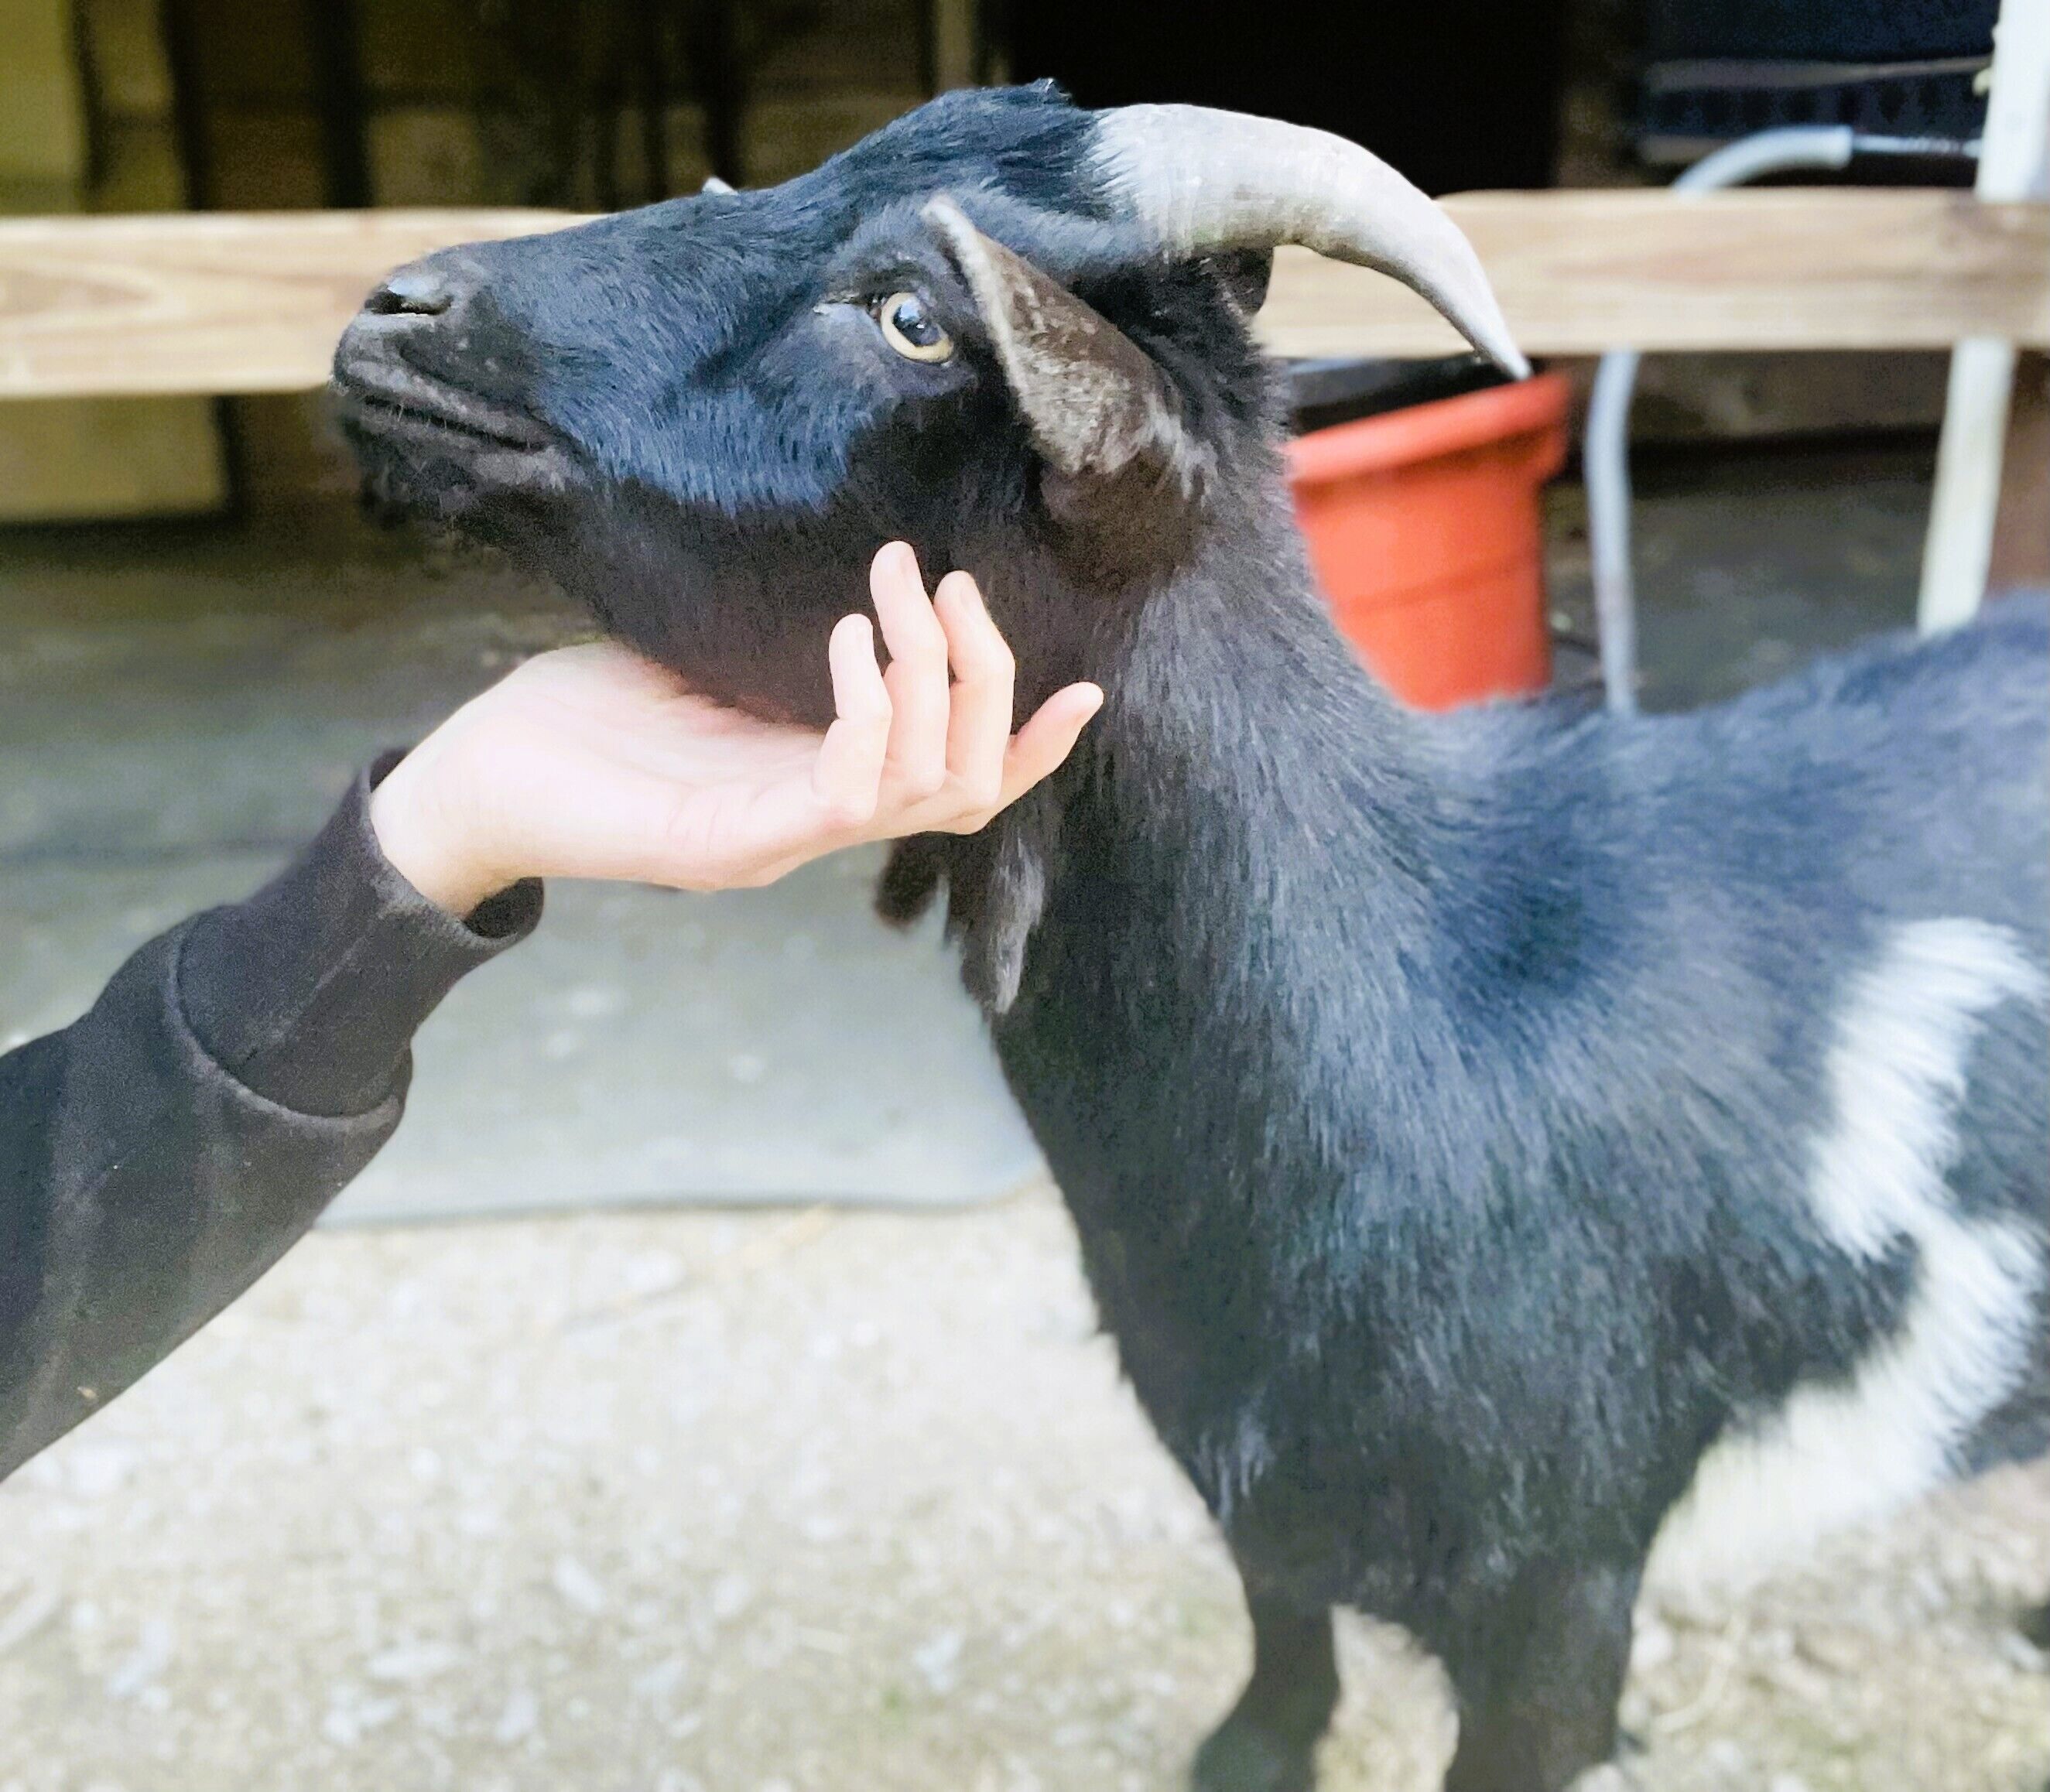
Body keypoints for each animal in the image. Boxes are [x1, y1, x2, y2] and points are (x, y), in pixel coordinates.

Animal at [334, 84, 2050, 1792]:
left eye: (910, 317)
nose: (394, 311)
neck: (1431, 994)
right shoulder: (1237, 1467)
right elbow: (1276, 1633)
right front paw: (1249, 1750)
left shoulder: (1560, 1593)